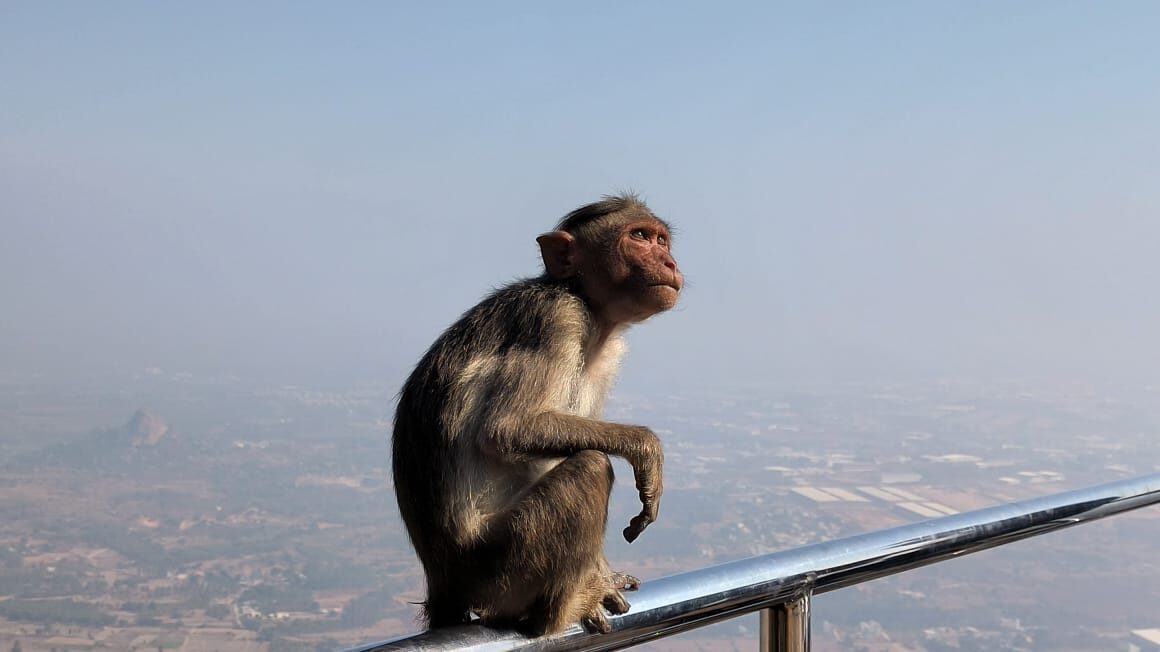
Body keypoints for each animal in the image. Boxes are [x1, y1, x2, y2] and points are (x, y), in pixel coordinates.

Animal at [391, 193, 683, 636]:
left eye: (661, 240)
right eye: (638, 237)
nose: (669, 262)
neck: (589, 306)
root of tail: (445, 582)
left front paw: (603, 573)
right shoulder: (555, 318)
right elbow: (507, 428)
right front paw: (647, 449)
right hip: (501, 567)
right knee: (590, 468)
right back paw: (562, 610)